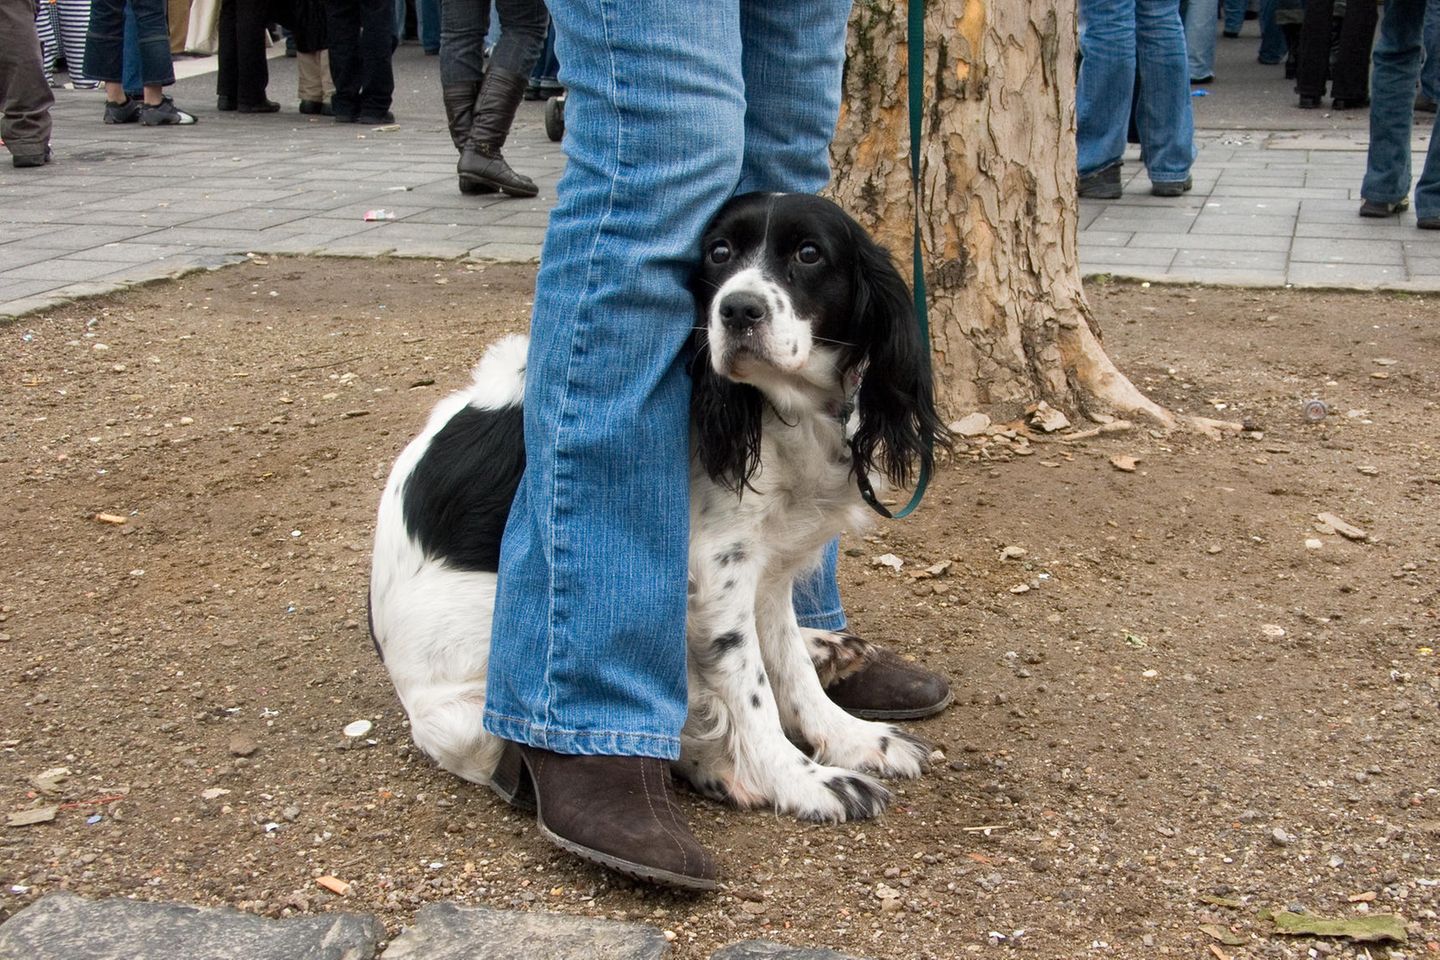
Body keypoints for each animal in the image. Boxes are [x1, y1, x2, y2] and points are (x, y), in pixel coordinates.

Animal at [374, 195, 944, 829]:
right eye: (718, 252)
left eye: (808, 253)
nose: (737, 309)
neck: (777, 410)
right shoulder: (717, 568)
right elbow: (751, 690)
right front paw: (802, 781)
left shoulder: (767, 564)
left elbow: (788, 668)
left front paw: (854, 737)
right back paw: (719, 767)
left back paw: (826, 650)